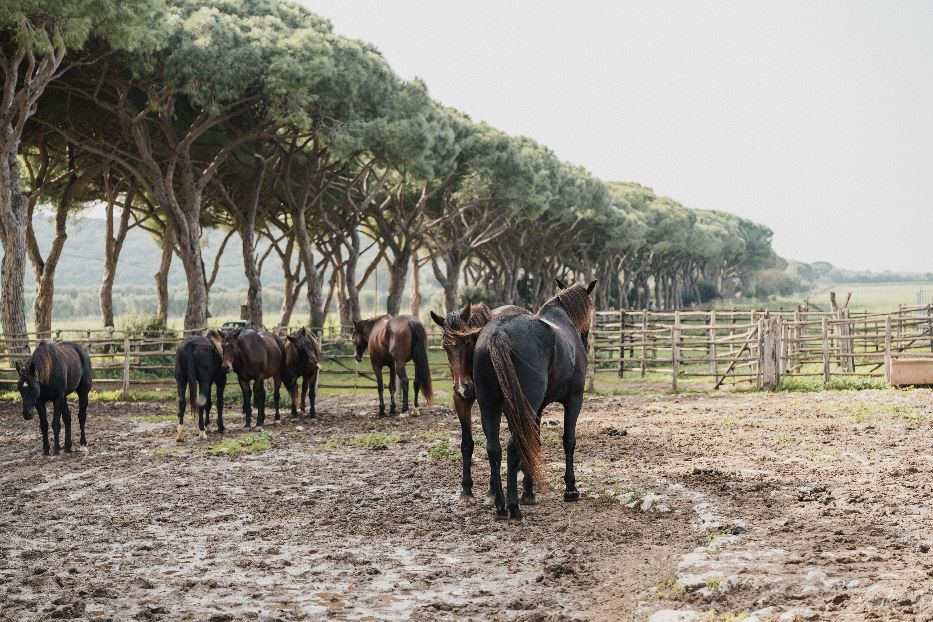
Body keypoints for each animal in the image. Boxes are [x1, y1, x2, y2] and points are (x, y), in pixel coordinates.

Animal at [432, 302, 532, 502]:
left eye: (468, 342)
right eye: (445, 347)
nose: (462, 387)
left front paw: (493, 489)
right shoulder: (461, 401)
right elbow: (467, 444)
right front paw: (466, 490)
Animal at [474, 280, 596, 524]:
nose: (585, 340)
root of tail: (498, 332)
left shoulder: (537, 410)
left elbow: (535, 442)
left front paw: (529, 492)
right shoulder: (574, 400)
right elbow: (569, 440)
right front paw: (571, 489)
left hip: (490, 407)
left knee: (495, 449)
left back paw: (500, 505)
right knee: (513, 447)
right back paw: (513, 508)